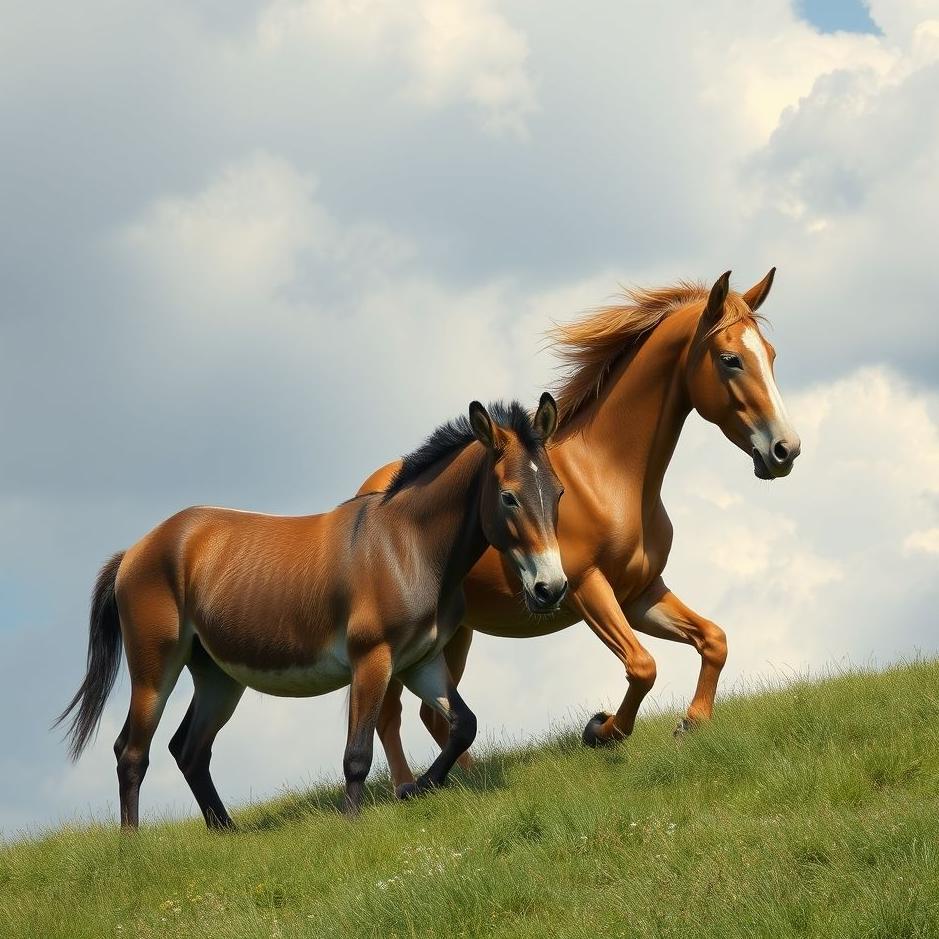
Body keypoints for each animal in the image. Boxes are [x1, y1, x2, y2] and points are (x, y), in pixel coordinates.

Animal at [56, 395, 566, 829]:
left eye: (558, 492)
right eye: (509, 496)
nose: (551, 589)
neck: (406, 545)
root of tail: (135, 551)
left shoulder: (420, 661)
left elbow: (463, 725)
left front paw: (416, 789)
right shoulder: (372, 661)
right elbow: (357, 754)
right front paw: (354, 823)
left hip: (218, 677)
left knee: (188, 750)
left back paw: (227, 833)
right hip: (154, 669)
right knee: (131, 753)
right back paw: (131, 846)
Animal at [359, 270, 801, 789]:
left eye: (770, 355)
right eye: (730, 359)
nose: (785, 450)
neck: (606, 476)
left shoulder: (640, 593)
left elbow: (714, 640)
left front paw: (691, 722)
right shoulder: (587, 588)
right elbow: (642, 666)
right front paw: (600, 730)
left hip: (455, 635)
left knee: (435, 715)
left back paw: (465, 782)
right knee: (389, 716)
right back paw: (409, 786)